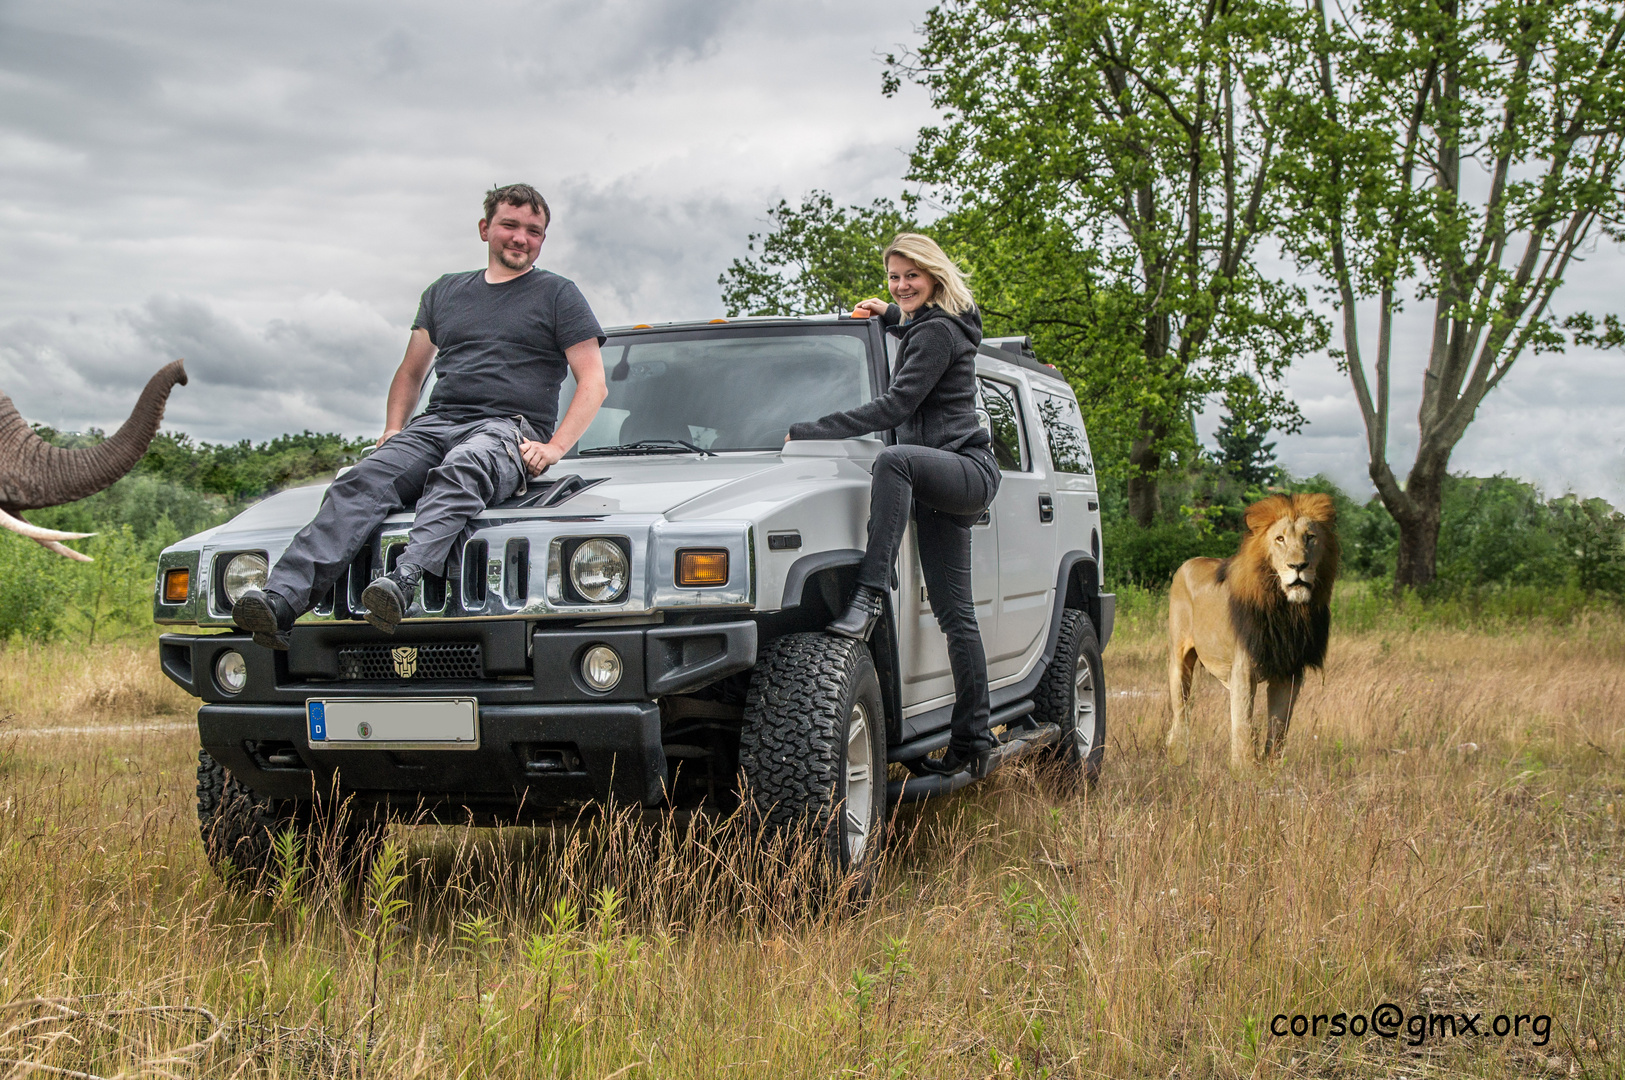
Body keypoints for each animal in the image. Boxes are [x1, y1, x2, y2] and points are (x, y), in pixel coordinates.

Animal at [1170, 493, 1345, 769]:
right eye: (1280, 538)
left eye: (1310, 537)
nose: (1298, 565)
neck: (1286, 611)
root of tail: (1189, 562)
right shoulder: (1243, 668)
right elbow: (1243, 722)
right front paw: (1243, 770)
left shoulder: (1290, 671)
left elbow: (1279, 726)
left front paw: (1272, 770)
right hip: (1179, 659)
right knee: (1181, 711)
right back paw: (1177, 756)